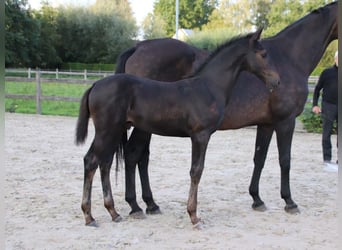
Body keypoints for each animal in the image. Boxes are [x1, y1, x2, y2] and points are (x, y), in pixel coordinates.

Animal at [76, 29, 280, 227]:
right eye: (263, 54)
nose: (277, 81)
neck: (208, 87)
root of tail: (95, 85)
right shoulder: (200, 135)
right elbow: (196, 171)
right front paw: (194, 216)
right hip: (107, 131)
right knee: (91, 161)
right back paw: (90, 216)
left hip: (114, 130)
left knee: (104, 162)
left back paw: (114, 212)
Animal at [116, 1, 338, 217]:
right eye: (263, 55)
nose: (276, 81)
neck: (289, 57)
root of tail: (138, 46)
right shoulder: (286, 120)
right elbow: (285, 160)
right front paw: (289, 202)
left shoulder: (266, 123)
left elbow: (259, 158)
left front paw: (257, 199)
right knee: (134, 154)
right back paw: (136, 206)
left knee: (141, 157)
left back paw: (150, 204)